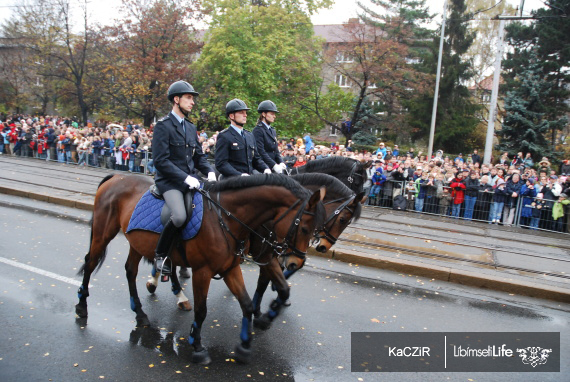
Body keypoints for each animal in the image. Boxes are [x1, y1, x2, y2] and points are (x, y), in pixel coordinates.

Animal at [75, 174, 324, 364]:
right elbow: (202, 310)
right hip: (103, 233)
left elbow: (247, 303)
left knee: (130, 271)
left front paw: (245, 344)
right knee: (90, 263)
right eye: (304, 228)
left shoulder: (231, 268)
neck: (226, 217)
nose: (296, 262)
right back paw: (82, 306)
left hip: (137, 242)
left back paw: (141, 312)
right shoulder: (203, 271)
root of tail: (115, 177)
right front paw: (197, 346)